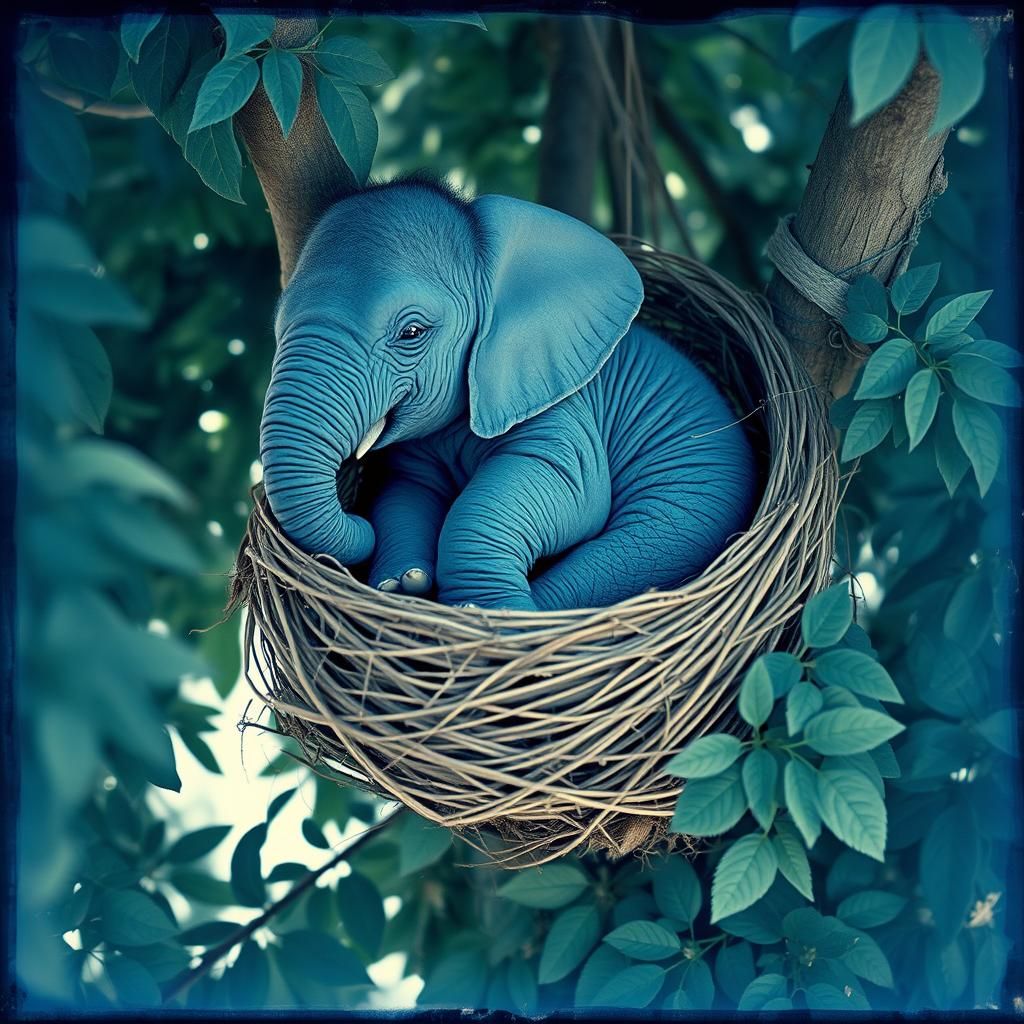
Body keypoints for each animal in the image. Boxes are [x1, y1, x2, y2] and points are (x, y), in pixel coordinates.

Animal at [260, 176, 756, 611]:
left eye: (411, 332)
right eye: (277, 328)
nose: (354, 516)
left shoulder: (558, 401)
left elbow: (567, 491)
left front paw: (487, 608)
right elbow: (406, 493)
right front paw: (403, 583)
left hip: (690, 506)